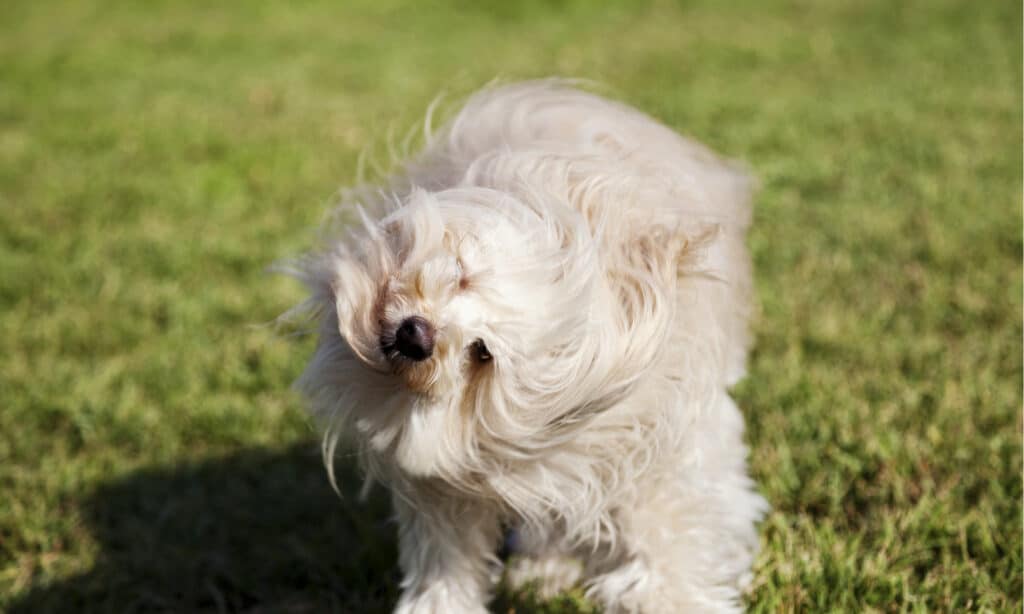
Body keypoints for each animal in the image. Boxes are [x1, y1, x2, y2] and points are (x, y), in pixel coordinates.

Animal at [288, 82, 770, 614]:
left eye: (482, 353)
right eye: (462, 274)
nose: (416, 336)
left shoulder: (655, 451)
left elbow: (674, 539)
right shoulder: (452, 485)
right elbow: (446, 558)